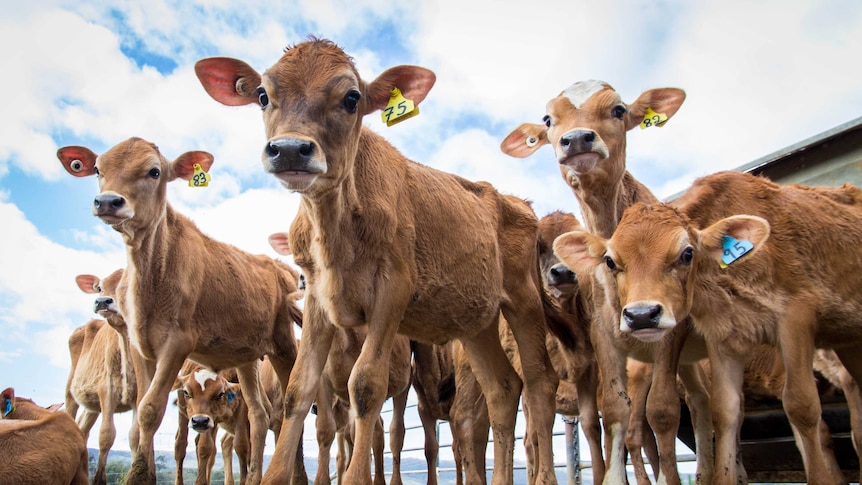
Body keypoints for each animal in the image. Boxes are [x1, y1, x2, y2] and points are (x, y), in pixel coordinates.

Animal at [68, 268, 142, 484]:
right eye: (99, 287)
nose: (102, 302)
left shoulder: (138, 396)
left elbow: (135, 436)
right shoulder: (106, 391)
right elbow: (106, 435)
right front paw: (99, 479)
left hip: (92, 405)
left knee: (82, 430)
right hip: (71, 392)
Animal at [196, 37, 560, 484]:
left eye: (352, 97)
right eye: (263, 95)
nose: (290, 150)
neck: (334, 232)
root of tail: (519, 203)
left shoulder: (394, 289)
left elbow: (366, 385)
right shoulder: (318, 299)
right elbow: (299, 388)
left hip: (524, 300)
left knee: (540, 381)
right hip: (476, 320)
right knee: (503, 389)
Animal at [502, 79, 712, 484]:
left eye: (618, 109)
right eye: (548, 120)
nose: (577, 139)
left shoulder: (661, 337)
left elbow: (660, 411)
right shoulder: (600, 336)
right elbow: (610, 413)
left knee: (698, 405)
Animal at [552, 169, 862, 480]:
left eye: (687, 253)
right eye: (610, 261)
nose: (641, 315)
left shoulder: (795, 317)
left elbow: (802, 408)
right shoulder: (721, 337)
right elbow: (722, 410)